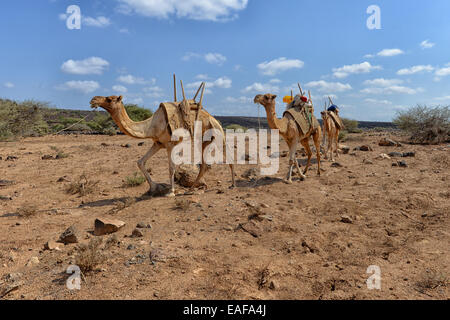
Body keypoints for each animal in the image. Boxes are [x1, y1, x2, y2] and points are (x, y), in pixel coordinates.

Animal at [89, 94, 236, 196]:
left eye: (109, 99)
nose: (93, 100)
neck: (151, 125)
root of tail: (212, 117)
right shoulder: (158, 143)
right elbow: (140, 162)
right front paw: (154, 187)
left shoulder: (170, 144)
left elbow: (171, 168)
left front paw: (171, 192)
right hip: (203, 141)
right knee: (205, 165)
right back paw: (192, 187)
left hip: (217, 134)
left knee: (226, 156)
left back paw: (232, 185)